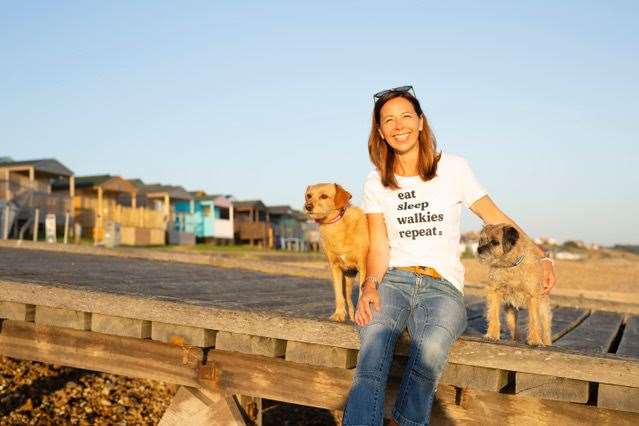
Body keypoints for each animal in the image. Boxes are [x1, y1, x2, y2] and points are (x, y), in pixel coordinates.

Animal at [304, 185, 370, 322]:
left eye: (324, 196)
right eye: (309, 195)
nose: (307, 206)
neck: (337, 226)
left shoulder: (364, 267)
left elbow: (362, 293)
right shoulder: (335, 268)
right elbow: (338, 294)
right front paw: (338, 314)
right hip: (348, 279)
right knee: (348, 299)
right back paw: (352, 316)